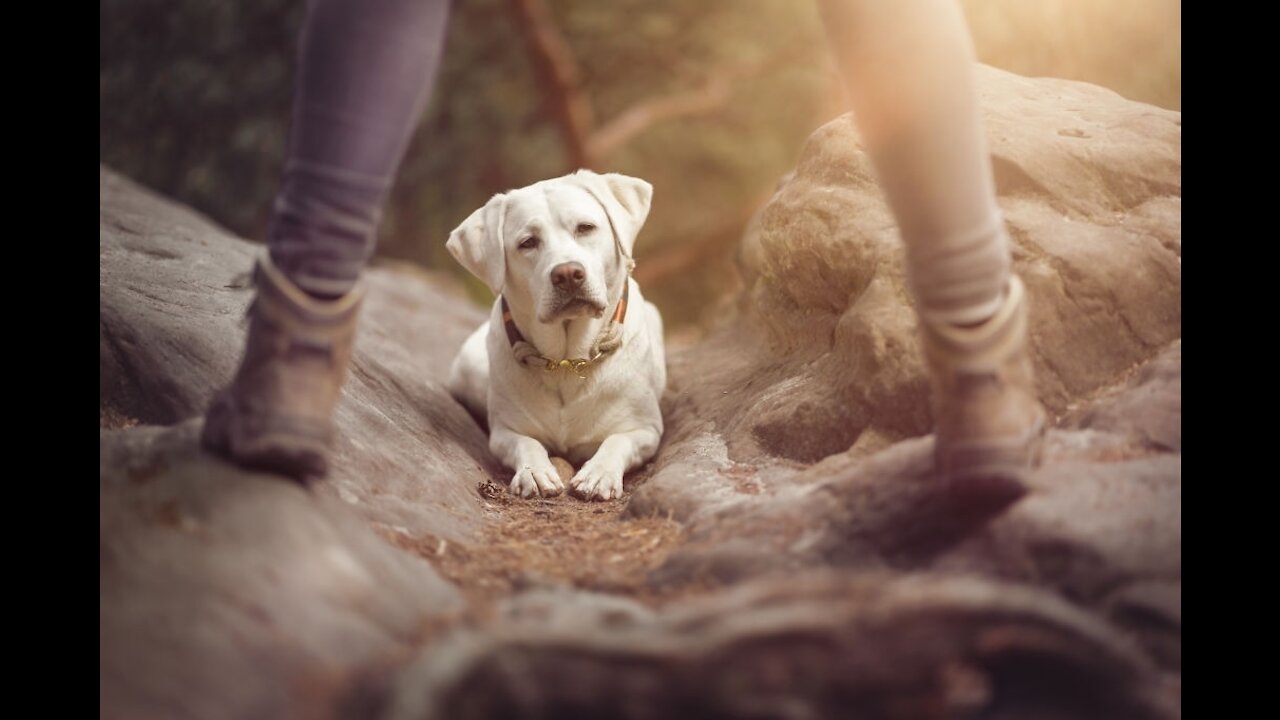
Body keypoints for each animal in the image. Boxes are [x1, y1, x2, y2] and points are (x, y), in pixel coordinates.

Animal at [448, 171, 670, 502]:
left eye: (585, 228)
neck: (567, 361)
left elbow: (617, 441)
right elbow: (526, 443)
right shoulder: (504, 432)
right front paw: (535, 472)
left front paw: (599, 474)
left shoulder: (645, 430)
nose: (567, 274)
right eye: (527, 243)